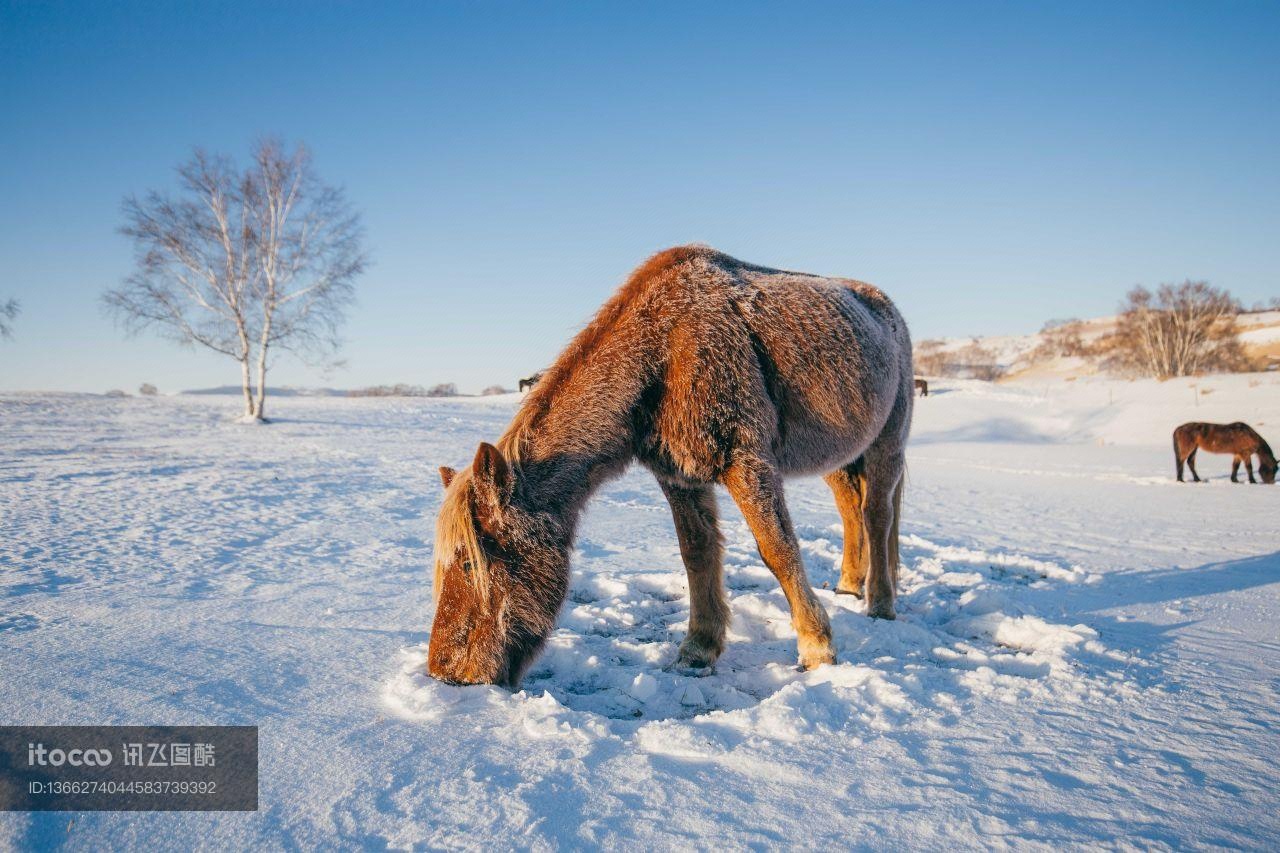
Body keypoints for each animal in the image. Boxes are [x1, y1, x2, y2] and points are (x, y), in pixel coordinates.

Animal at [430, 244, 911, 686]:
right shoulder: (679, 476)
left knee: (877, 516)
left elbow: (778, 549)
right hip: (839, 457)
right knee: (851, 510)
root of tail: (887, 311)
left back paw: (880, 604)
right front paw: (698, 648)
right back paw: (850, 585)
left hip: (887, 444)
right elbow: (697, 553)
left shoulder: (747, 460)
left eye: (470, 563)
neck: (665, 346)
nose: (446, 672)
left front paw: (817, 648)